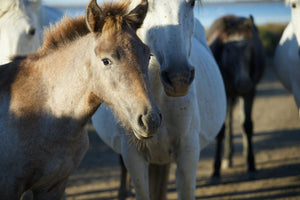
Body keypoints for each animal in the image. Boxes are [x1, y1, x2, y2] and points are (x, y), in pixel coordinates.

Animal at [209, 14, 264, 180]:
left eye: (250, 47)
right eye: (227, 48)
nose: (244, 83)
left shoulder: (250, 92)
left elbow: (247, 125)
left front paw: (251, 163)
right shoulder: (225, 93)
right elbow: (222, 130)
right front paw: (216, 168)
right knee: (228, 123)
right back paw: (227, 157)